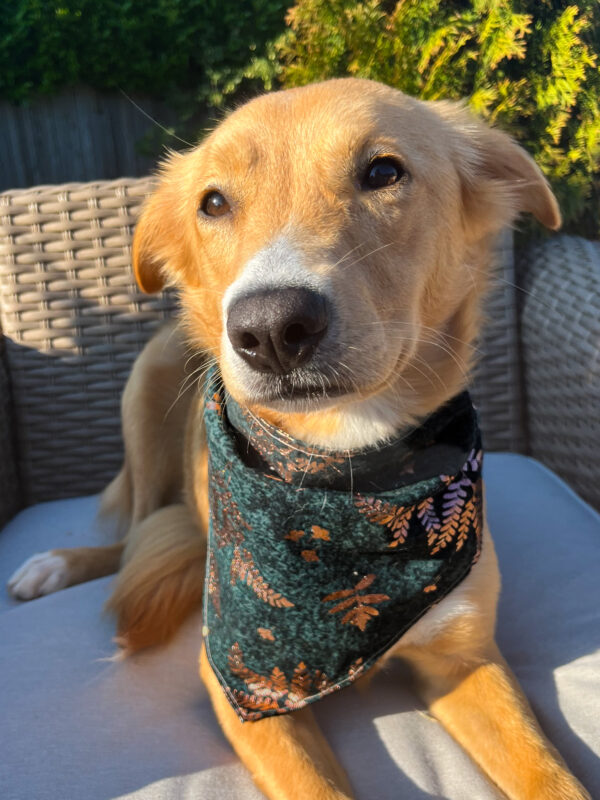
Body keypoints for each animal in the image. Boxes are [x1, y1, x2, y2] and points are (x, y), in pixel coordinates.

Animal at [8, 76, 592, 800]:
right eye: (213, 202)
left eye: (383, 172)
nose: (270, 329)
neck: (340, 465)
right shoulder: (240, 684)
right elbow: (319, 788)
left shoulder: (466, 657)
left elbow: (553, 776)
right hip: (146, 384)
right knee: (135, 531)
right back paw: (59, 563)